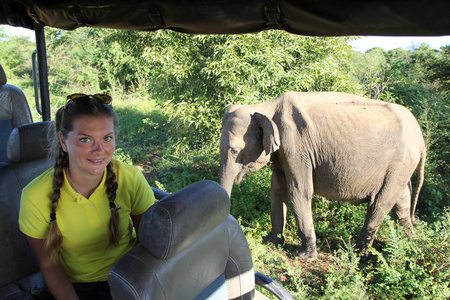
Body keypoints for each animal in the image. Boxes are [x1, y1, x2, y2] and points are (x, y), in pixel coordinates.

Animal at [220, 91, 428, 260]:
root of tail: (421, 140)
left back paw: (356, 256)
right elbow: (277, 189)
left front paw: (303, 257)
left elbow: (298, 192)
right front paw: (271, 242)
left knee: (379, 204)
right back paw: (410, 246)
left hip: (400, 163)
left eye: (234, 151)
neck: (265, 107)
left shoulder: (297, 147)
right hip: (400, 167)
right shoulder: (283, 154)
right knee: (402, 202)